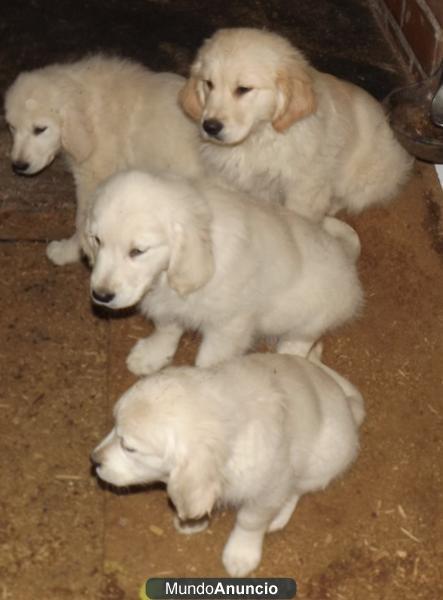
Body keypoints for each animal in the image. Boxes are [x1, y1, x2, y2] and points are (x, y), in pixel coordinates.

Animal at [4, 54, 202, 264]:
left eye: (40, 129)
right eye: (12, 127)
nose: (18, 166)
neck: (88, 108)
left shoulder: (92, 179)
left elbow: (82, 221)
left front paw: (68, 252)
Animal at [87, 170, 364, 376]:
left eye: (138, 251)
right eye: (97, 240)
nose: (101, 296)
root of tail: (345, 256)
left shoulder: (229, 326)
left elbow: (210, 361)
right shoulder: (168, 305)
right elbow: (167, 329)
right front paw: (150, 356)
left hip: (311, 314)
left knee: (300, 340)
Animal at [92, 350, 366, 580]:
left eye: (129, 447)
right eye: (113, 426)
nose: (93, 460)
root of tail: (349, 407)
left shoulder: (270, 487)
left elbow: (250, 521)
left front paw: (241, 554)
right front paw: (192, 522)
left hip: (321, 460)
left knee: (297, 490)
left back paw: (278, 517)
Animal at [180, 27, 412, 221]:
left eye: (243, 89)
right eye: (209, 84)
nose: (209, 127)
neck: (258, 138)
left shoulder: (304, 188)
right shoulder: (223, 176)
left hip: (366, 177)